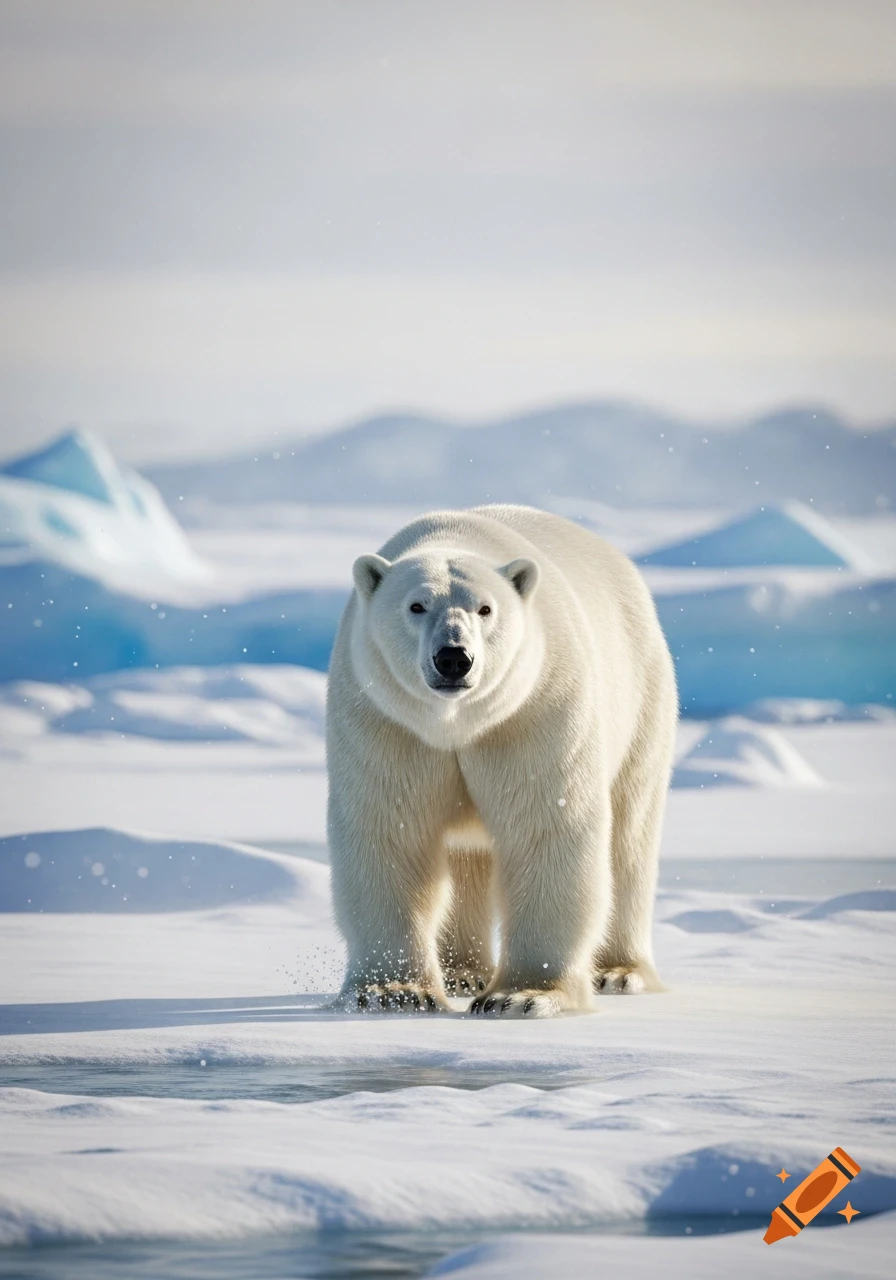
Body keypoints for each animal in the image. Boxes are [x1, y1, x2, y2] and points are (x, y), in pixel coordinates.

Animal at [326, 504, 677, 1017]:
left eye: (485, 608)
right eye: (416, 605)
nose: (454, 658)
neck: (455, 724)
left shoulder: (532, 709)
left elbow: (543, 826)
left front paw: (522, 995)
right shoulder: (385, 720)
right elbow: (390, 831)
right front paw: (394, 991)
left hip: (642, 698)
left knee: (629, 838)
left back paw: (617, 971)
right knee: (466, 860)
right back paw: (463, 971)